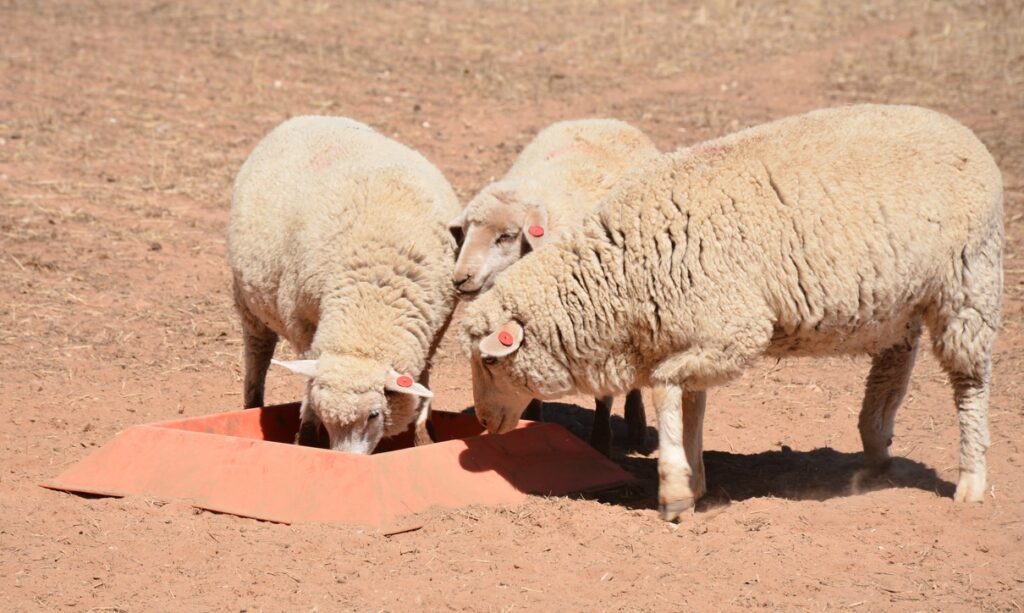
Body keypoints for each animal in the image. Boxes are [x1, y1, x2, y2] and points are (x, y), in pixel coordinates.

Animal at [232, 115, 460, 452]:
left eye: (374, 415)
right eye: (327, 417)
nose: (348, 459)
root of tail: (309, 117)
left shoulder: (435, 328)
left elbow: (424, 382)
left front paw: (423, 435)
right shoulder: (303, 324)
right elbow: (310, 384)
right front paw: (308, 434)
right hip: (249, 305)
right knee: (257, 356)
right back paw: (252, 403)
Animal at [450, 121, 659, 456]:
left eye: (506, 236)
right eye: (466, 232)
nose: (460, 279)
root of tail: (605, 120)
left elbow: (604, 394)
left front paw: (601, 442)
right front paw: (534, 422)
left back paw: (637, 428)